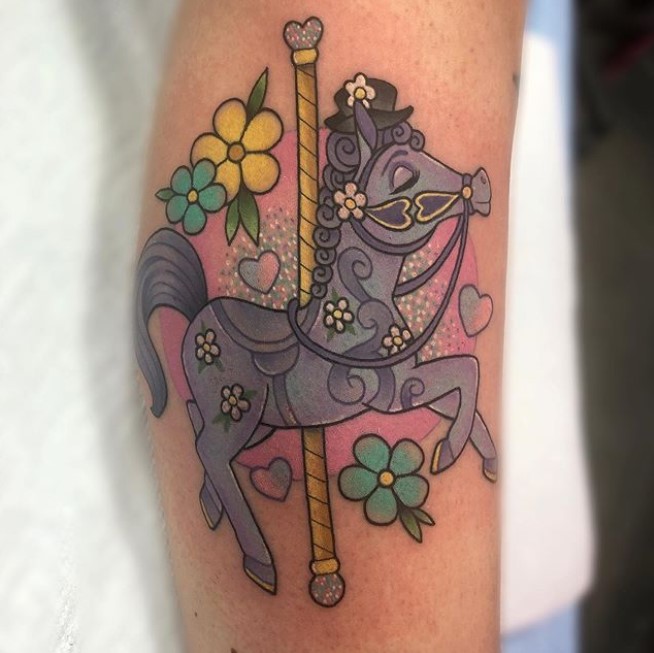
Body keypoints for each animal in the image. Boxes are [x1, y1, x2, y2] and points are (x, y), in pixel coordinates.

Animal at [135, 101, 497, 594]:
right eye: (403, 174)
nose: (480, 184)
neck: (361, 304)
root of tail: (195, 317)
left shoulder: (407, 387)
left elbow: (466, 389)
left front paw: (484, 459)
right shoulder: (390, 393)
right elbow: (468, 370)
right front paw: (450, 454)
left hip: (258, 421)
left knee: (196, 427)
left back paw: (210, 507)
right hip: (238, 411)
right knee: (210, 449)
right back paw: (260, 561)